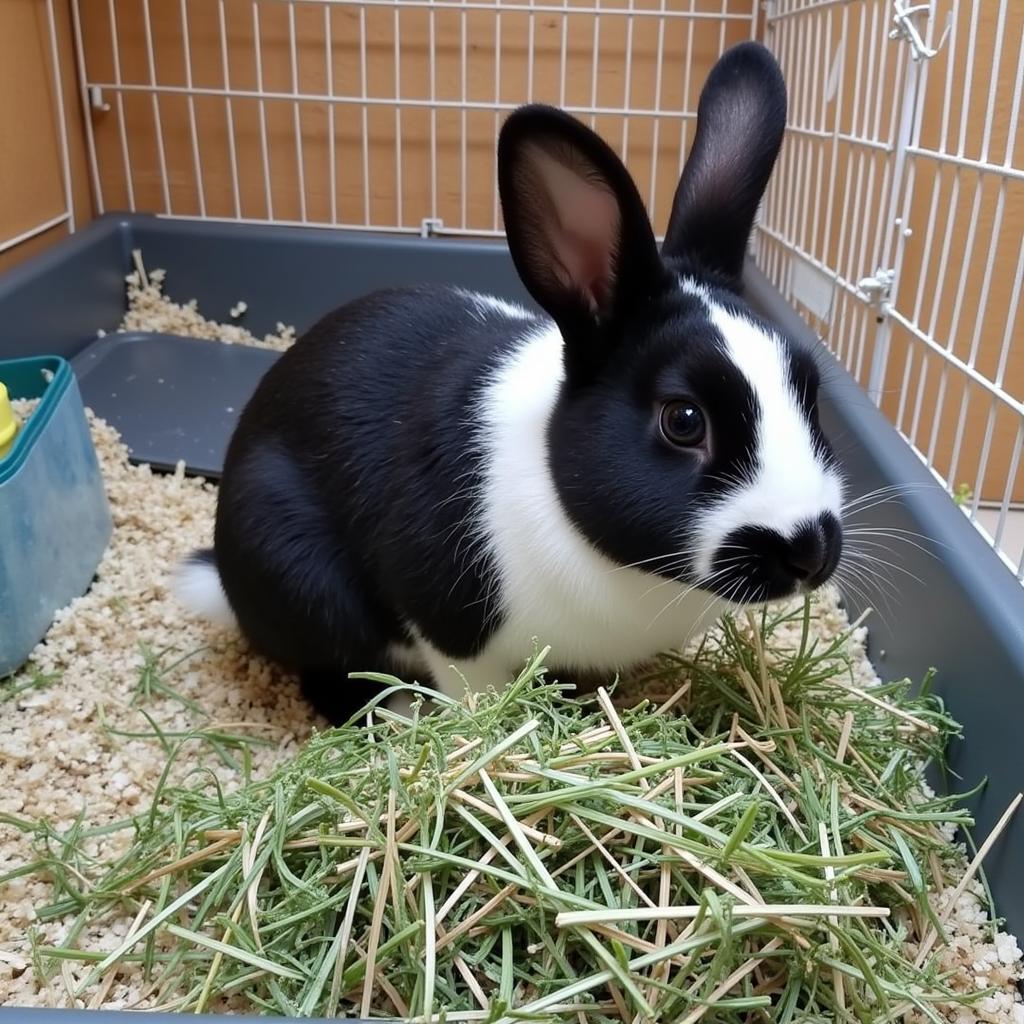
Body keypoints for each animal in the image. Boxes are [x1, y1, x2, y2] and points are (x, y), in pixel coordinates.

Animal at [176, 41, 843, 729]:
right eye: (683, 420)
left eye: (810, 392)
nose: (810, 551)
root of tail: (223, 575)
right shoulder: (450, 622)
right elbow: (473, 686)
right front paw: (493, 723)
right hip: (302, 577)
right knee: (328, 678)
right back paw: (395, 714)